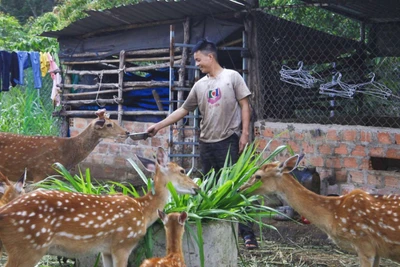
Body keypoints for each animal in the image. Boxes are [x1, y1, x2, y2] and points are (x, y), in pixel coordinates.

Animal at [0, 148, 199, 266]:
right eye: (182, 171)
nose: (197, 188)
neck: (143, 210)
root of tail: (4, 212)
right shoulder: (122, 244)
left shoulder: (105, 250)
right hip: (27, 246)